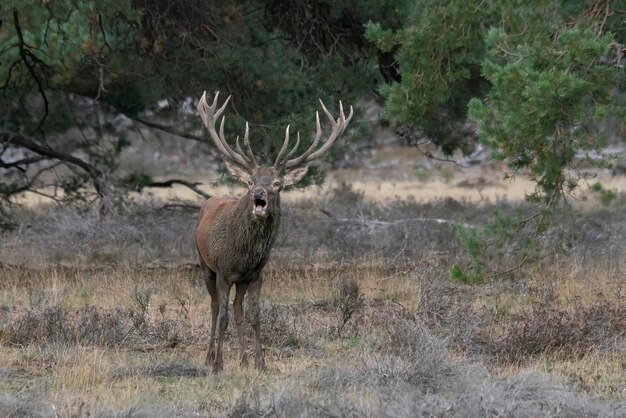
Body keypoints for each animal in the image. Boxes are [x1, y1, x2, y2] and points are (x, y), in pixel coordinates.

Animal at [195, 91, 352, 372]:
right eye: (250, 181)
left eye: (277, 184)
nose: (258, 193)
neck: (243, 254)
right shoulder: (223, 271)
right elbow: (222, 316)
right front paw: (218, 365)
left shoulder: (256, 274)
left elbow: (255, 316)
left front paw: (260, 363)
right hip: (204, 263)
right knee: (215, 307)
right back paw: (209, 357)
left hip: (240, 280)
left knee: (238, 309)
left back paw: (244, 360)